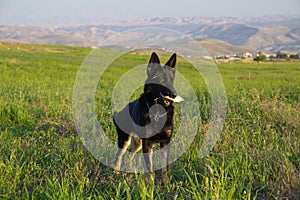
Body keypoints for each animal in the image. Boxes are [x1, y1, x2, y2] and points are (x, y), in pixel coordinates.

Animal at [112, 52, 183, 183]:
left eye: (172, 81)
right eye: (161, 80)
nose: (174, 95)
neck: (157, 112)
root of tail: (119, 112)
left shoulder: (165, 142)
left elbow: (164, 168)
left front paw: (166, 183)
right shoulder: (148, 143)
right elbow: (149, 167)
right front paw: (150, 184)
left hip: (138, 143)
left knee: (129, 155)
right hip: (125, 140)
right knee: (118, 156)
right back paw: (116, 172)